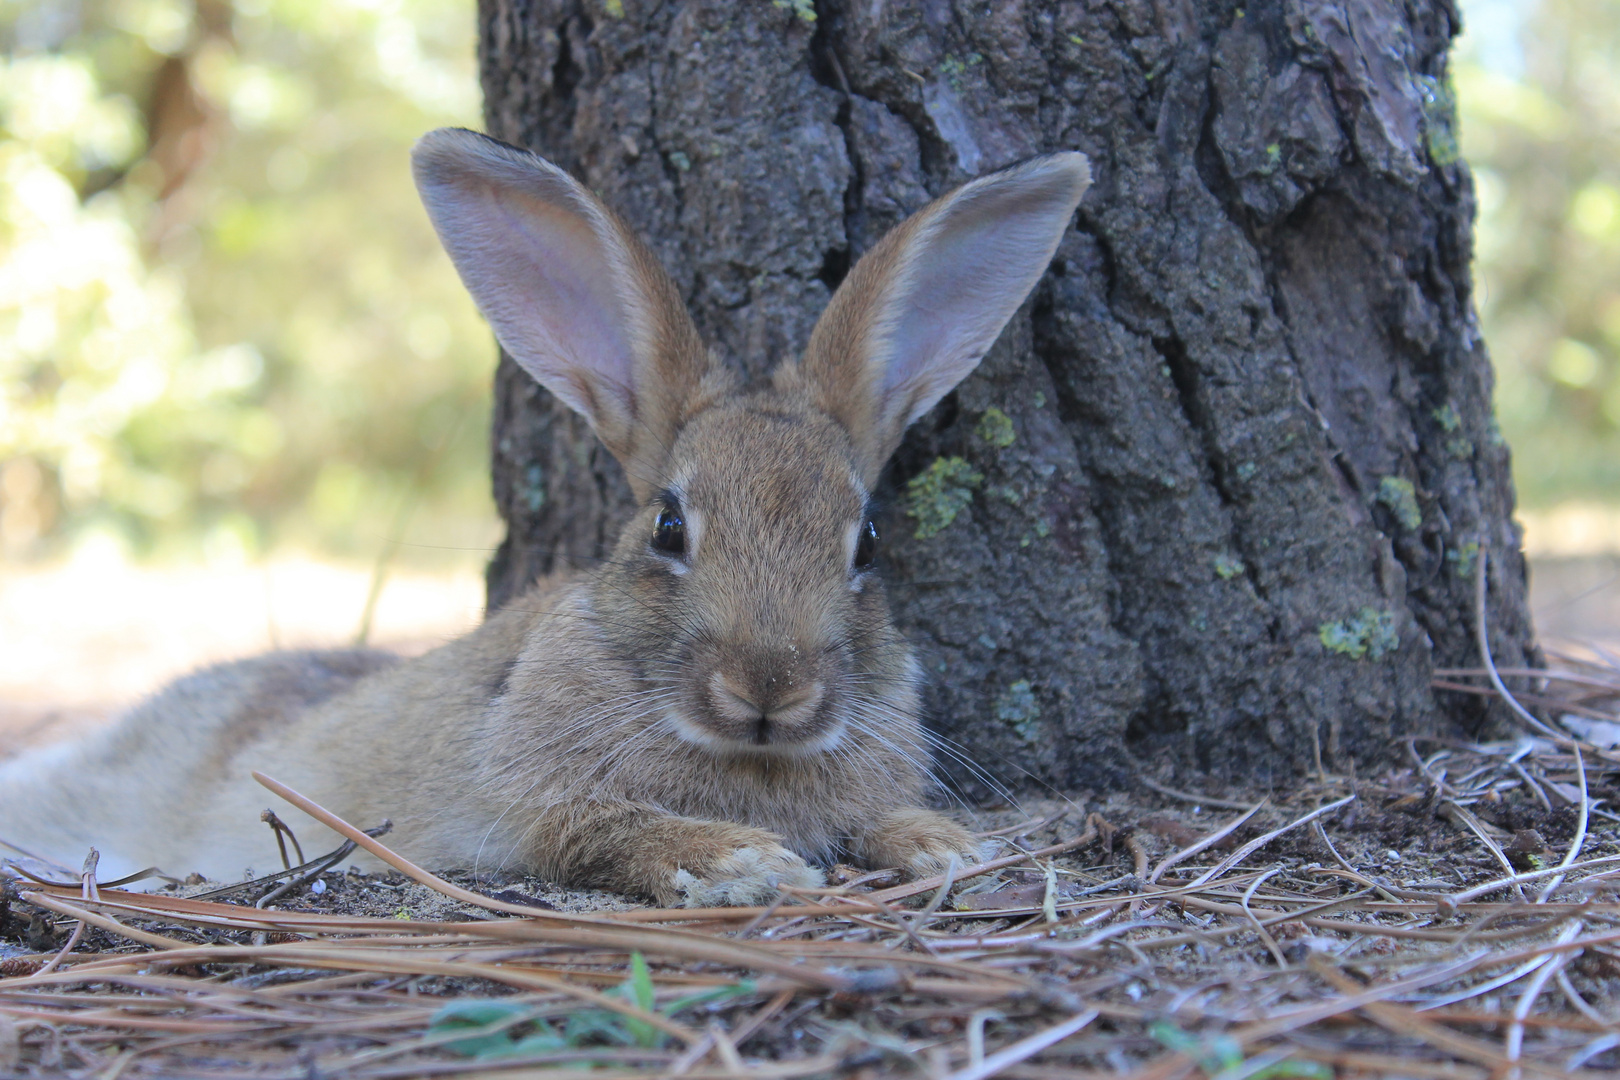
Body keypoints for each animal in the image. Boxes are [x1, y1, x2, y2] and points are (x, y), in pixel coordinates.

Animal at [0, 128, 1095, 906]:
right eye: (668, 528)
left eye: (865, 541)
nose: (768, 690)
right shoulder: (525, 806)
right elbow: (601, 832)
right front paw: (745, 861)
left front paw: (941, 845)